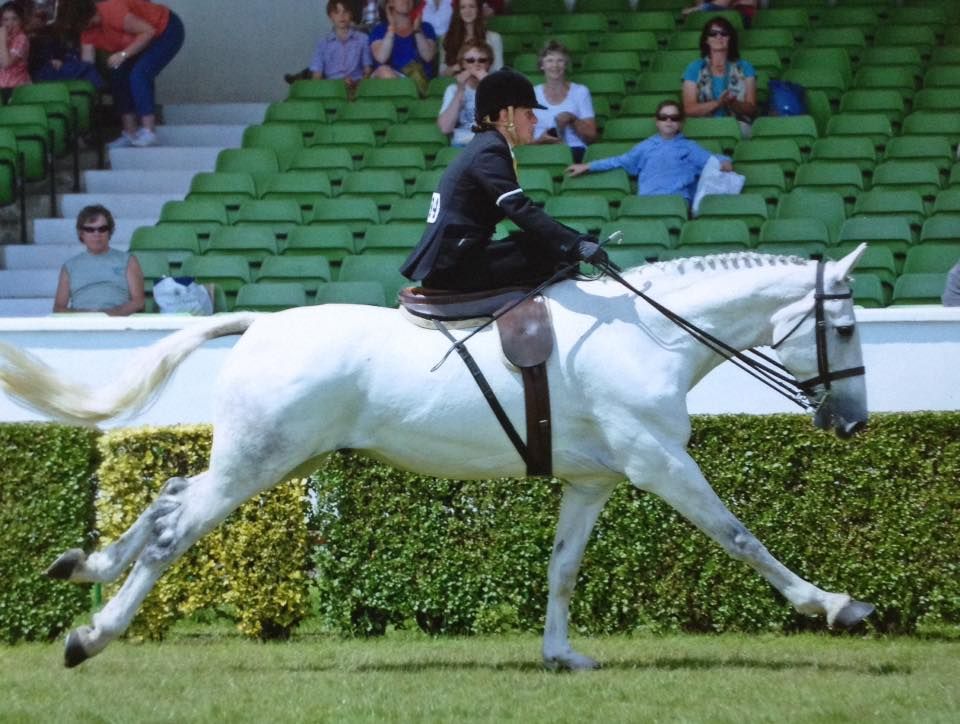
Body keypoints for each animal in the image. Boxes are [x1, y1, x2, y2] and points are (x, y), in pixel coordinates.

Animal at [0, 247, 876, 668]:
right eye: (845, 329)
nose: (853, 423)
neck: (649, 336)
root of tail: (261, 324)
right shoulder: (659, 462)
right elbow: (740, 536)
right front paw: (837, 606)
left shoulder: (592, 481)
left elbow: (563, 569)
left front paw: (560, 655)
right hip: (261, 462)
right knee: (176, 531)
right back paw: (91, 636)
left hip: (270, 461)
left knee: (169, 499)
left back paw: (84, 567)